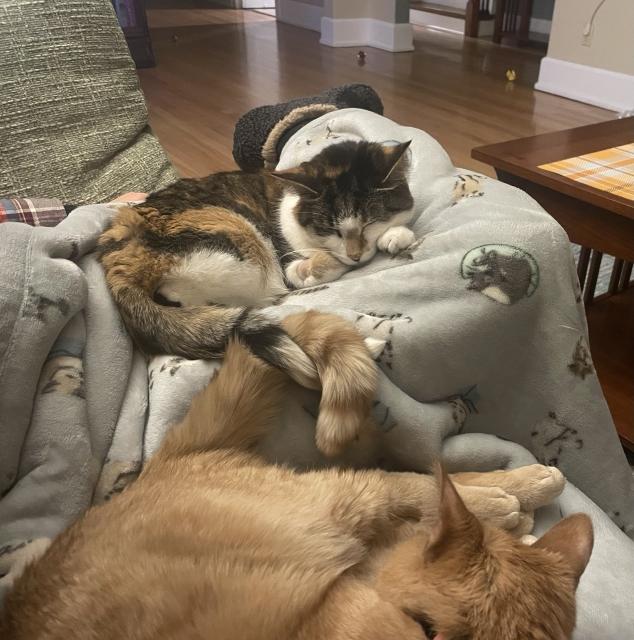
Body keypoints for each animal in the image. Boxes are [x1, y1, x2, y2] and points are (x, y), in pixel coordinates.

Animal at [1, 314, 592, 640]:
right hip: (332, 506)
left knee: (418, 483)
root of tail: (164, 461)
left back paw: (524, 494)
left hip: (333, 503)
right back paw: (517, 502)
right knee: (417, 485)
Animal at [97, 139, 414, 388]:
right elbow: (310, 266)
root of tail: (119, 261)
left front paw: (395, 235)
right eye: (331, 229)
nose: (355, 255)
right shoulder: (286, 261)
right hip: (244, 245)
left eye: (370, 222)